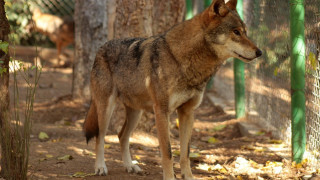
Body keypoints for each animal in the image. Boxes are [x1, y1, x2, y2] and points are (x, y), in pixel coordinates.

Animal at [84, 0, 262, 179]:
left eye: (245, 32)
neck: (184, 60)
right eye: (236, 32)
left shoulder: (187, 112)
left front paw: (188, 176)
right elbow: (168, 152)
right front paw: (170, 177)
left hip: (136, 113)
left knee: (122, 136)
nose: (259, 52)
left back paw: (130, 166)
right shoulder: (162, 112)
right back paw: (100, 167)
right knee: (100, 136)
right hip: (106, 109)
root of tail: (101, 47)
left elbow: (185, 153)